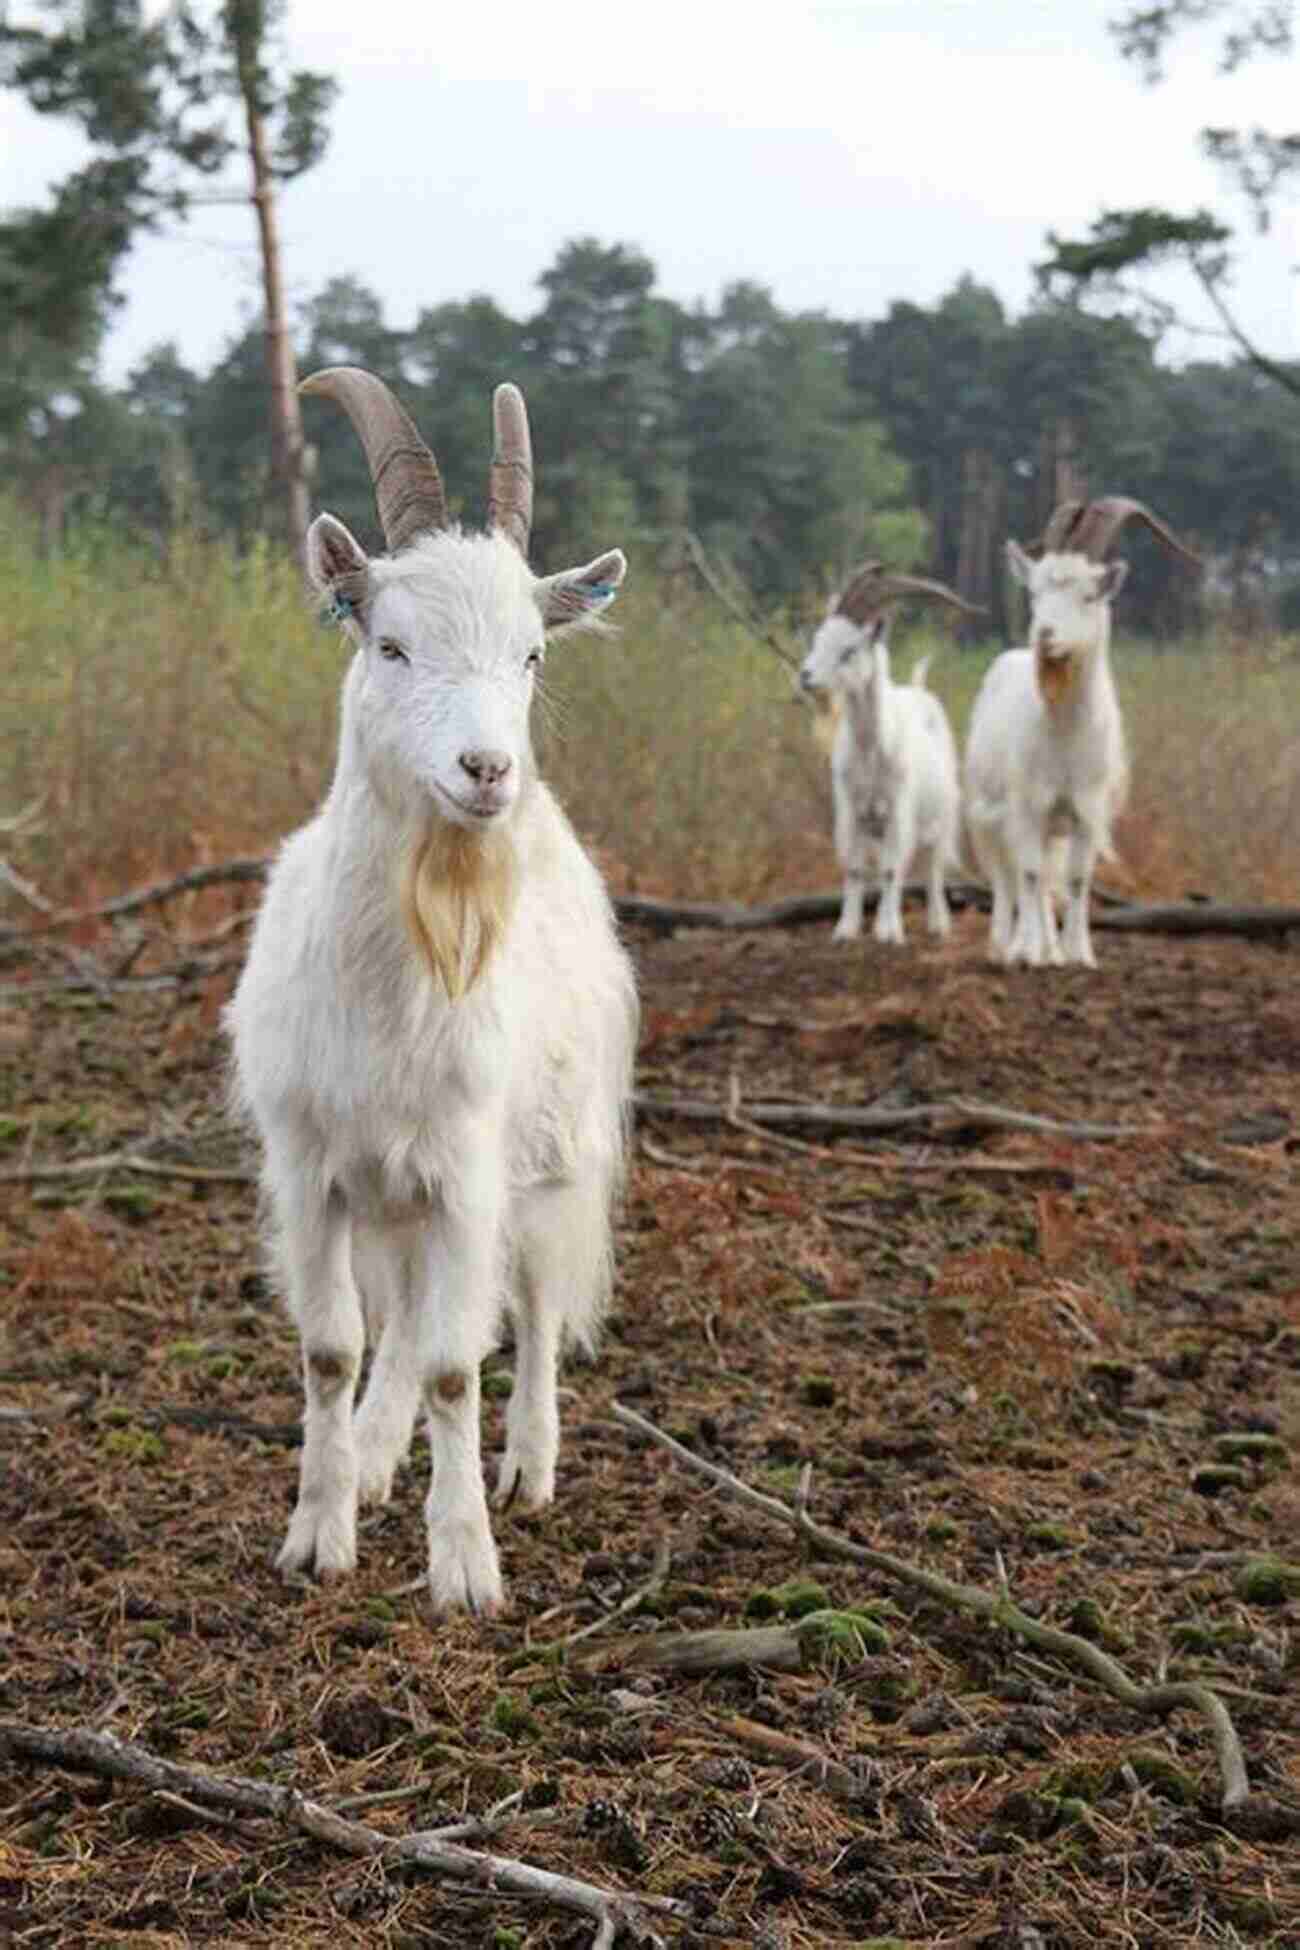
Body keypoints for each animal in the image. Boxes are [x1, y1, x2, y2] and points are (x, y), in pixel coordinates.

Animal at [229, 366, 647, 1614]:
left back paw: (528, 1468)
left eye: (535, 655)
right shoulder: (312, 1169)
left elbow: (463, 1361)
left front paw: (464, 1565)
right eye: (391, 644)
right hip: (396, 1200)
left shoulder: (467, 1168)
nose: (487, 771)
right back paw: (373, 1456)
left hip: (550, 1155)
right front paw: (319, 1532)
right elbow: (334, 1348)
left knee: (534, 1306)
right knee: (404, 1323)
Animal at [799, 565, 982, 943]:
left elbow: (890, 869)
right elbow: (855, 868)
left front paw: (888, 932)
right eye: (817, 641)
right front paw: (846, 929)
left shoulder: (899, 810)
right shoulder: (850, 810)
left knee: (932, 868)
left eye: (848, 650)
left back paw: (938, 924)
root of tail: (920, 689)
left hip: (941, 815)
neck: (871, 751)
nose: (805, 676)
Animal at [966, 495, 1200, 967]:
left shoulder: (1088, 811)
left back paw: (1050, 950)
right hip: (989, 811)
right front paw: (1029, 954)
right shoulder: (1027, 805)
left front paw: (1079, 955)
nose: (1045, 636)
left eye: (1088, 596)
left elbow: (1076, 879)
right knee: (1009, 876)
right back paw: (1007, 946)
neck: (1064, 733)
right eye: (1035, 591)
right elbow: (1030, 874)